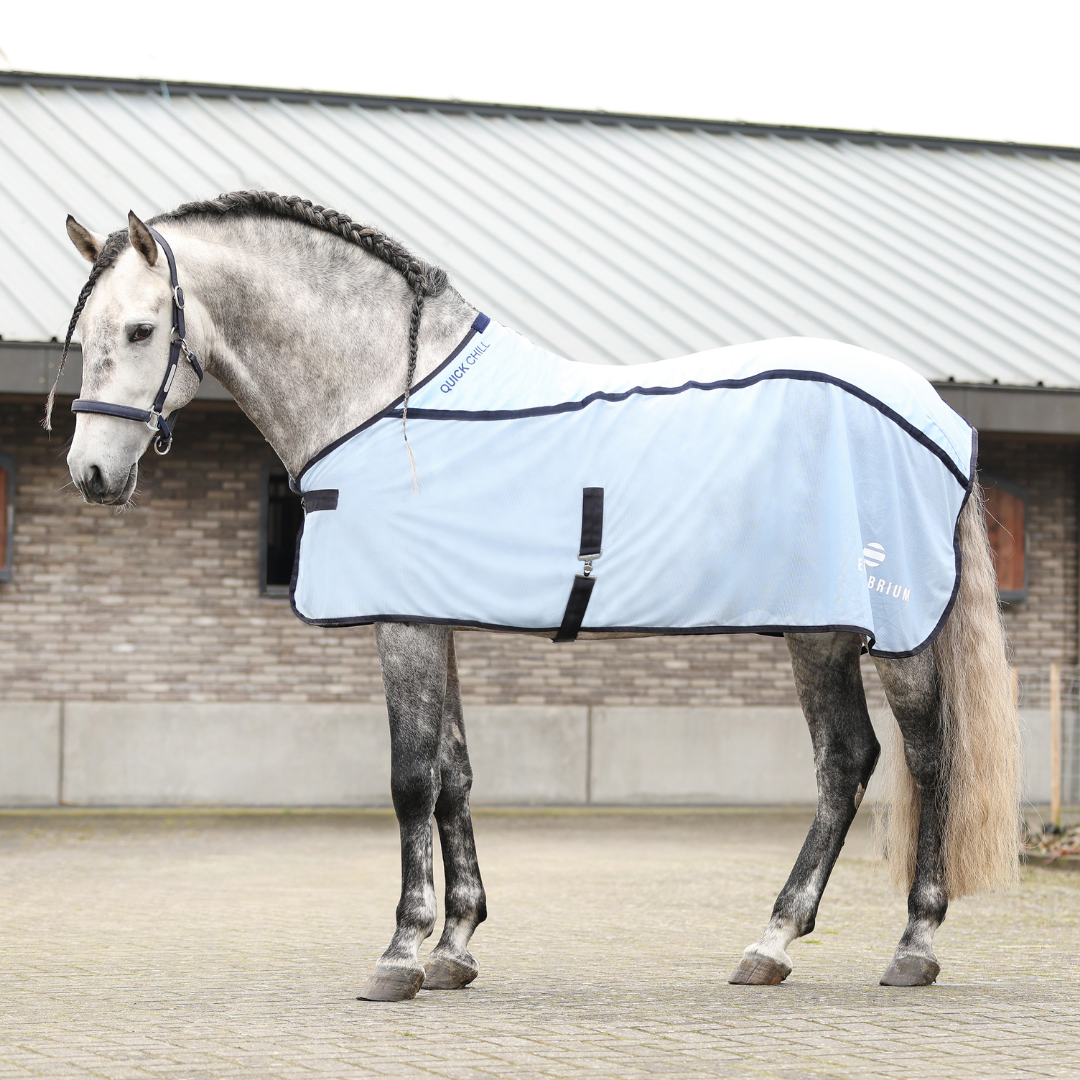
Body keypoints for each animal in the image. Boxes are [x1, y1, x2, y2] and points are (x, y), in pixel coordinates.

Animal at [54, 191, 1021, 1000]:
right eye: (85, 331)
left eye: (140, 329)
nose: (92, 475)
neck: (388, 402)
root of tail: (937, 417)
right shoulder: (433, 617)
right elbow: (453, 774)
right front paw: (455, 947)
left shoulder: (403, 624)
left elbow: (410, 777)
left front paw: (399, 955)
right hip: (821, 630)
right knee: (854, 761)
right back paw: (779, 944)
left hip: (880, 632)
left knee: (915, 756)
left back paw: (902, 944)